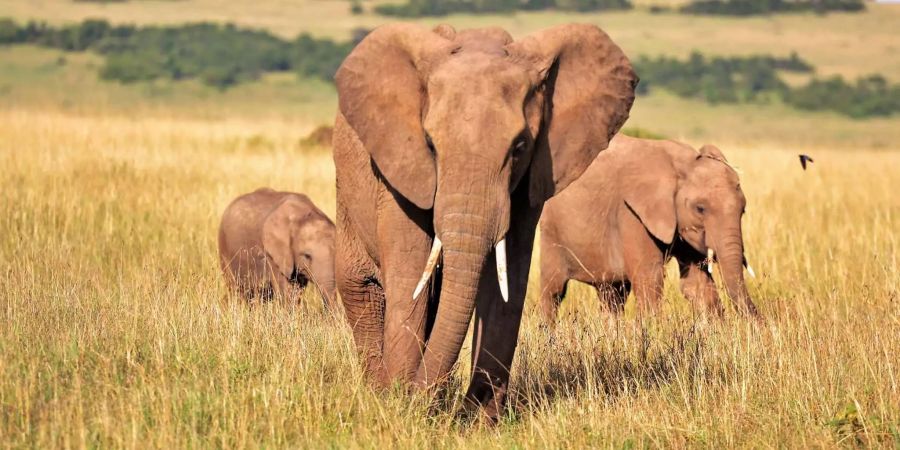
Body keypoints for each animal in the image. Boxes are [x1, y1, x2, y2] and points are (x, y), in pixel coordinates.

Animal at [332, 23, 640, 418]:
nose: (417, 396)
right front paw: (401, 406)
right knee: (362, 288)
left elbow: (508, 278)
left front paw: (477, 419)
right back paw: (379, 392)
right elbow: (410, 272)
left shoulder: (530, 180)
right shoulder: (399, 170)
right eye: (430, 144)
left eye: (520, 146)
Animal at [540, 134, 760, 324]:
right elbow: (650, 279)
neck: (682, 164)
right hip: (551, 229)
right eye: (700, 208)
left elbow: (696, 284)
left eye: (743, 210)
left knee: (612, 295)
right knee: (554, 291)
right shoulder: (631, 213)